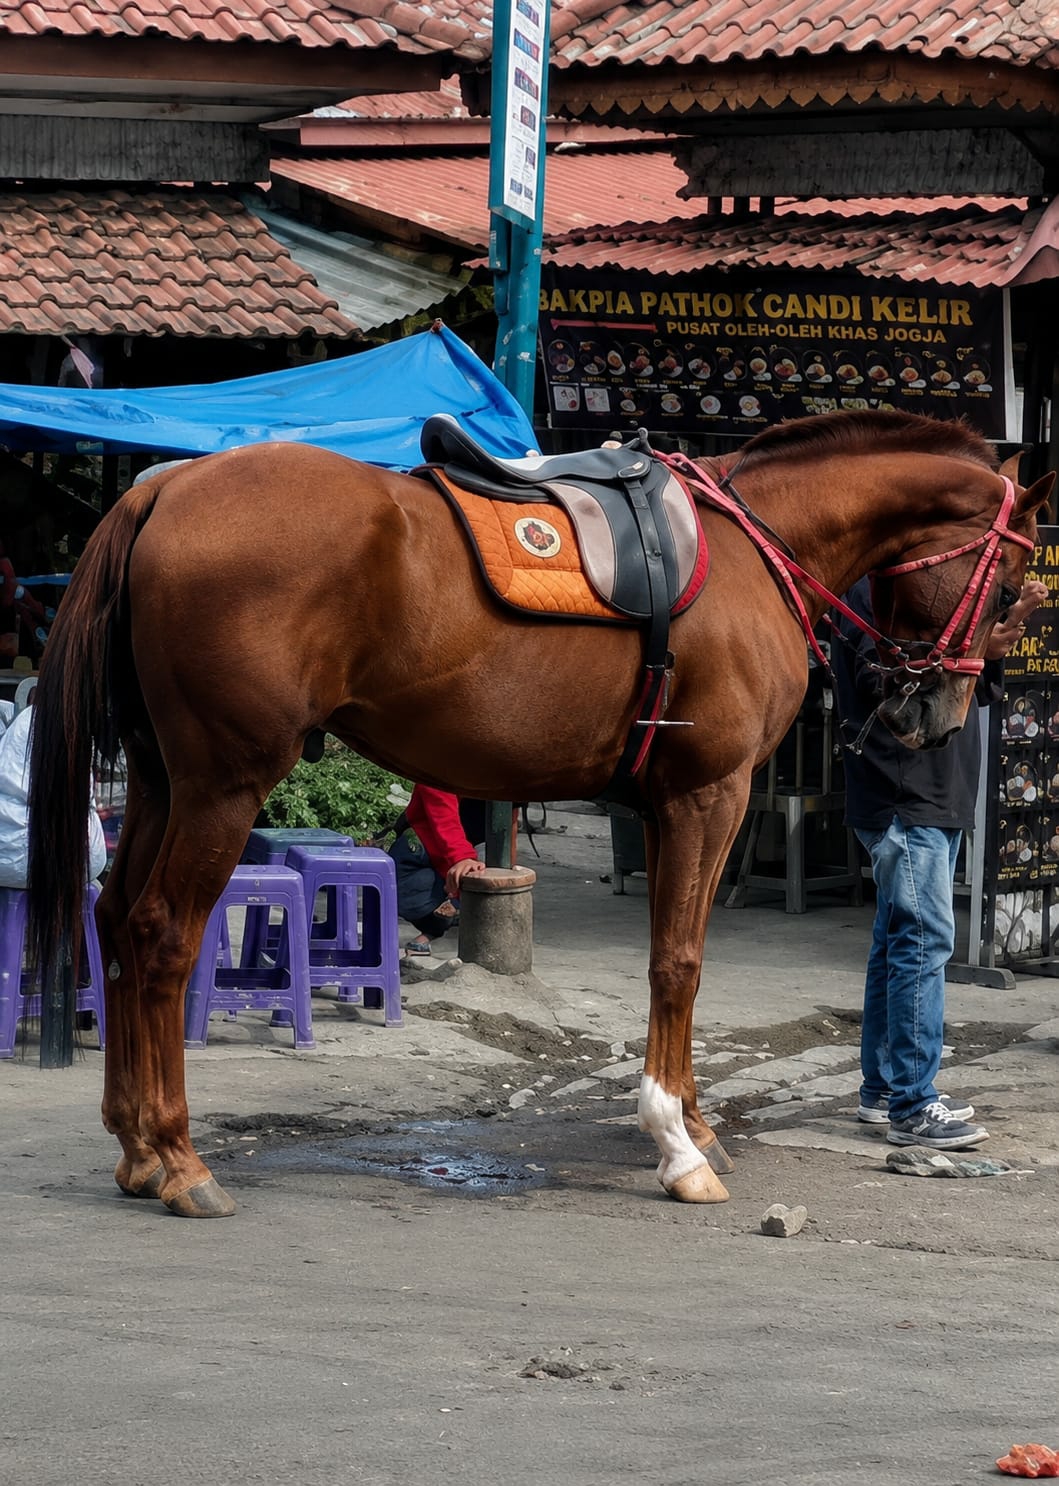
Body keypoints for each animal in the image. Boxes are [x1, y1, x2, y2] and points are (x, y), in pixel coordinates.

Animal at [26, 409, 1053, 1218]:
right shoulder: (707, 793)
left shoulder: (675, 804)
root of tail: (166, 487)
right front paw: (674, 1142)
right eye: (1008, 590)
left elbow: (675, 958)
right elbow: (678, 962)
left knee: (114, 920)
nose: (932, 714)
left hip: (162, 778)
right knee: (162, 933)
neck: (752, 548)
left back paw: (134, 1145)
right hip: (224, 781)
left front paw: (692, 1118)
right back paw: (177, 1157)